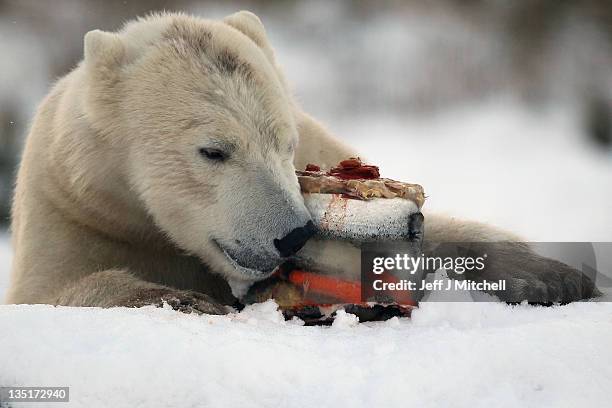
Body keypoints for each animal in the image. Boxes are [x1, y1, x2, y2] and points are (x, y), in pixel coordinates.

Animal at [4, 11, 596, 312]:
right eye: (214, 150)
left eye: (283, 144)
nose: (293, 235)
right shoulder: (75, 207)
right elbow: (52, 292)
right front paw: (186, 299)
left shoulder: (319, 150)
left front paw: (549, 277)